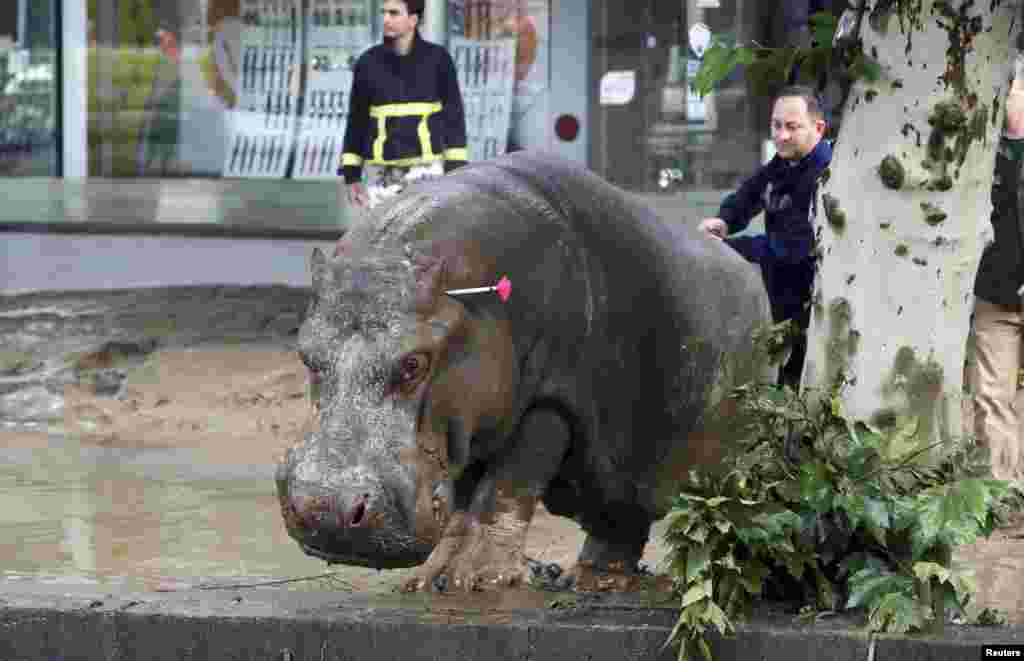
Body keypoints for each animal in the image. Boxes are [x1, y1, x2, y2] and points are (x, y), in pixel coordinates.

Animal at [275, 151, 772, 591]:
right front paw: (432, 579)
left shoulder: (548, 399)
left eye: (414, 363)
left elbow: (508, 482)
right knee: (618, 519)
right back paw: (592, 580)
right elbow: (466, 497)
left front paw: (478, 579)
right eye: (306, 354)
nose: (324, 510)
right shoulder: (468, 423)